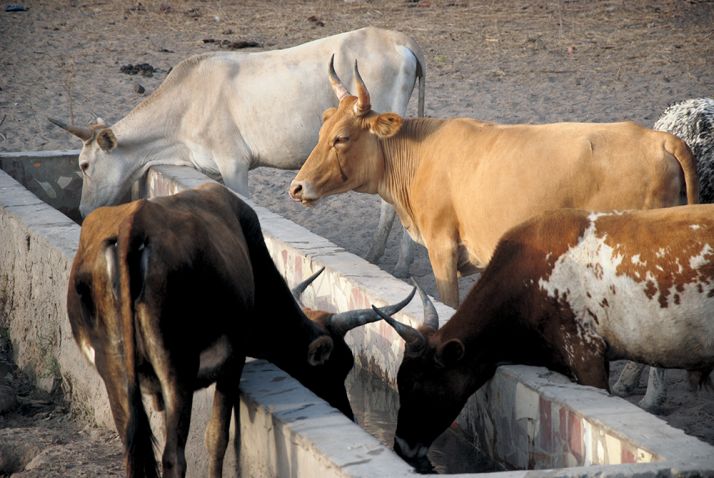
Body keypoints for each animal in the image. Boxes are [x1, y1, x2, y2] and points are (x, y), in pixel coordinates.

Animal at [67, 182, 414, 478]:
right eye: (337, 366)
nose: (347, 413)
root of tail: (133, 226)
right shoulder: (232, 361)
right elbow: (217, 438)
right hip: (177, 368)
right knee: (174, 457)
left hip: (113, 370)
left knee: (134, 449)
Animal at [288, 61, 696, 306]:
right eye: (321, 131)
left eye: (341, 138)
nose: (298, 187)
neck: (421, 153)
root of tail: (658, 138)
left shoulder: (442, 248)